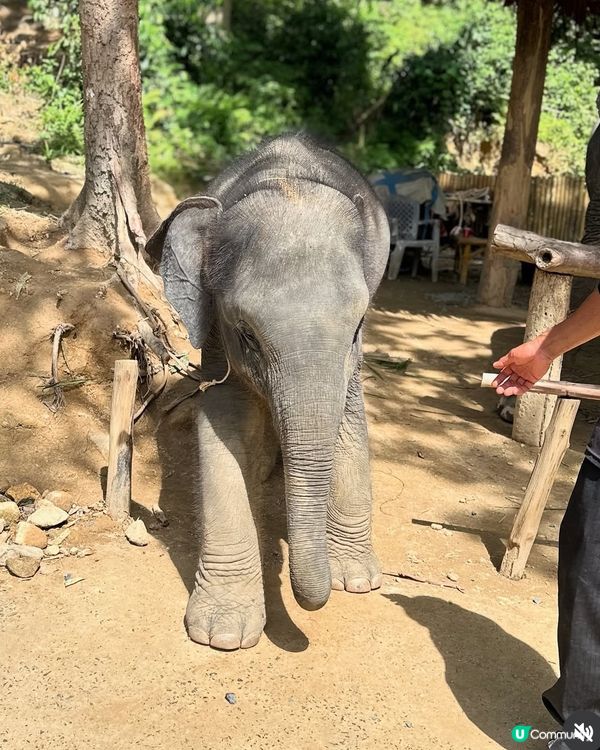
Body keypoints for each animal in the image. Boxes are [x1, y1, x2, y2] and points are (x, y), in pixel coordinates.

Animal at [146, 134, 390, 650]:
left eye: (358, 326)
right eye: (248, 335)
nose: (316, 601)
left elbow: (350, 421)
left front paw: (356, 581)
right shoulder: (216, 335)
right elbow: (222, 425)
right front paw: (223, 634)